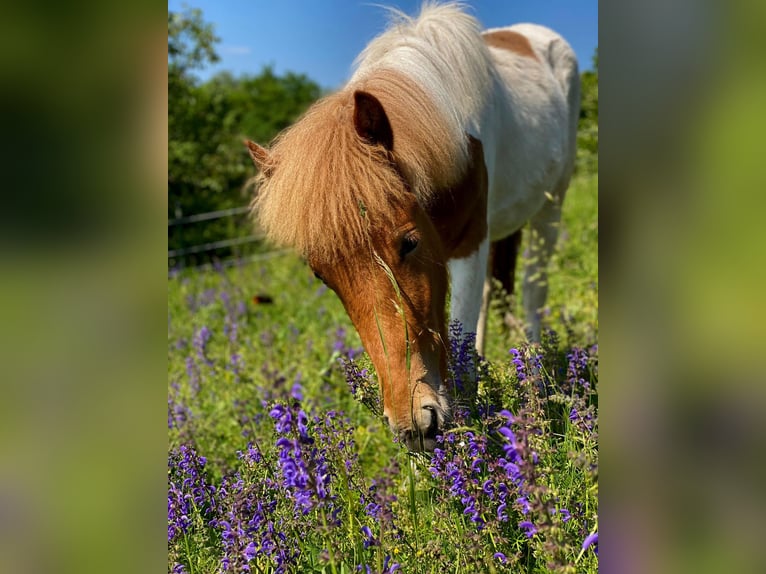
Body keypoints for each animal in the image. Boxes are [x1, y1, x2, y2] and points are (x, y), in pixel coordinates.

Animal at [246, 2, 580, 451]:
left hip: (552, 202)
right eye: (321, 276)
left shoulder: (469, 240)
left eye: (409, 242)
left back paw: (537, 379)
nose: (415, 428)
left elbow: (462, 354)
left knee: (532, 288)